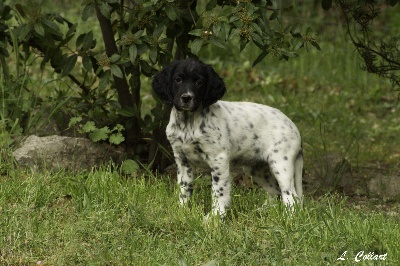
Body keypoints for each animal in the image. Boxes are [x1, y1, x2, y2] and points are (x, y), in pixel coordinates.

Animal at [152, 59, 302, 217]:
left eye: (199, 82)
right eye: (178, 79)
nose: (186, 97)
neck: (189, 123)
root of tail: (294, 127)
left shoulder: (219, 159)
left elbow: (219, 191)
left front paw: (215, 217)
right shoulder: (182, 160)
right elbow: (184, 189)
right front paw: (182, 211)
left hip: (280, 164)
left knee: (291, 197)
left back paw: (289, 218)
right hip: (257, 168)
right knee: (276, 191)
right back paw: (264, 211)